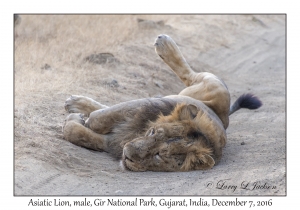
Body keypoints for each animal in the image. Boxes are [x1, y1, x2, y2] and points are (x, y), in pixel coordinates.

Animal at [62, 34, 262, 171]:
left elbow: (79, 134)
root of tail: (224, 117)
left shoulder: (114, 141)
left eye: (158, 156)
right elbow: (99, 119)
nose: (127, 155)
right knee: (190, 74)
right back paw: (165, 44)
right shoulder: (138, 108)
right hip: (216, 89)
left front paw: (75, 120)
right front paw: (81, 117)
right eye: (152, 133)